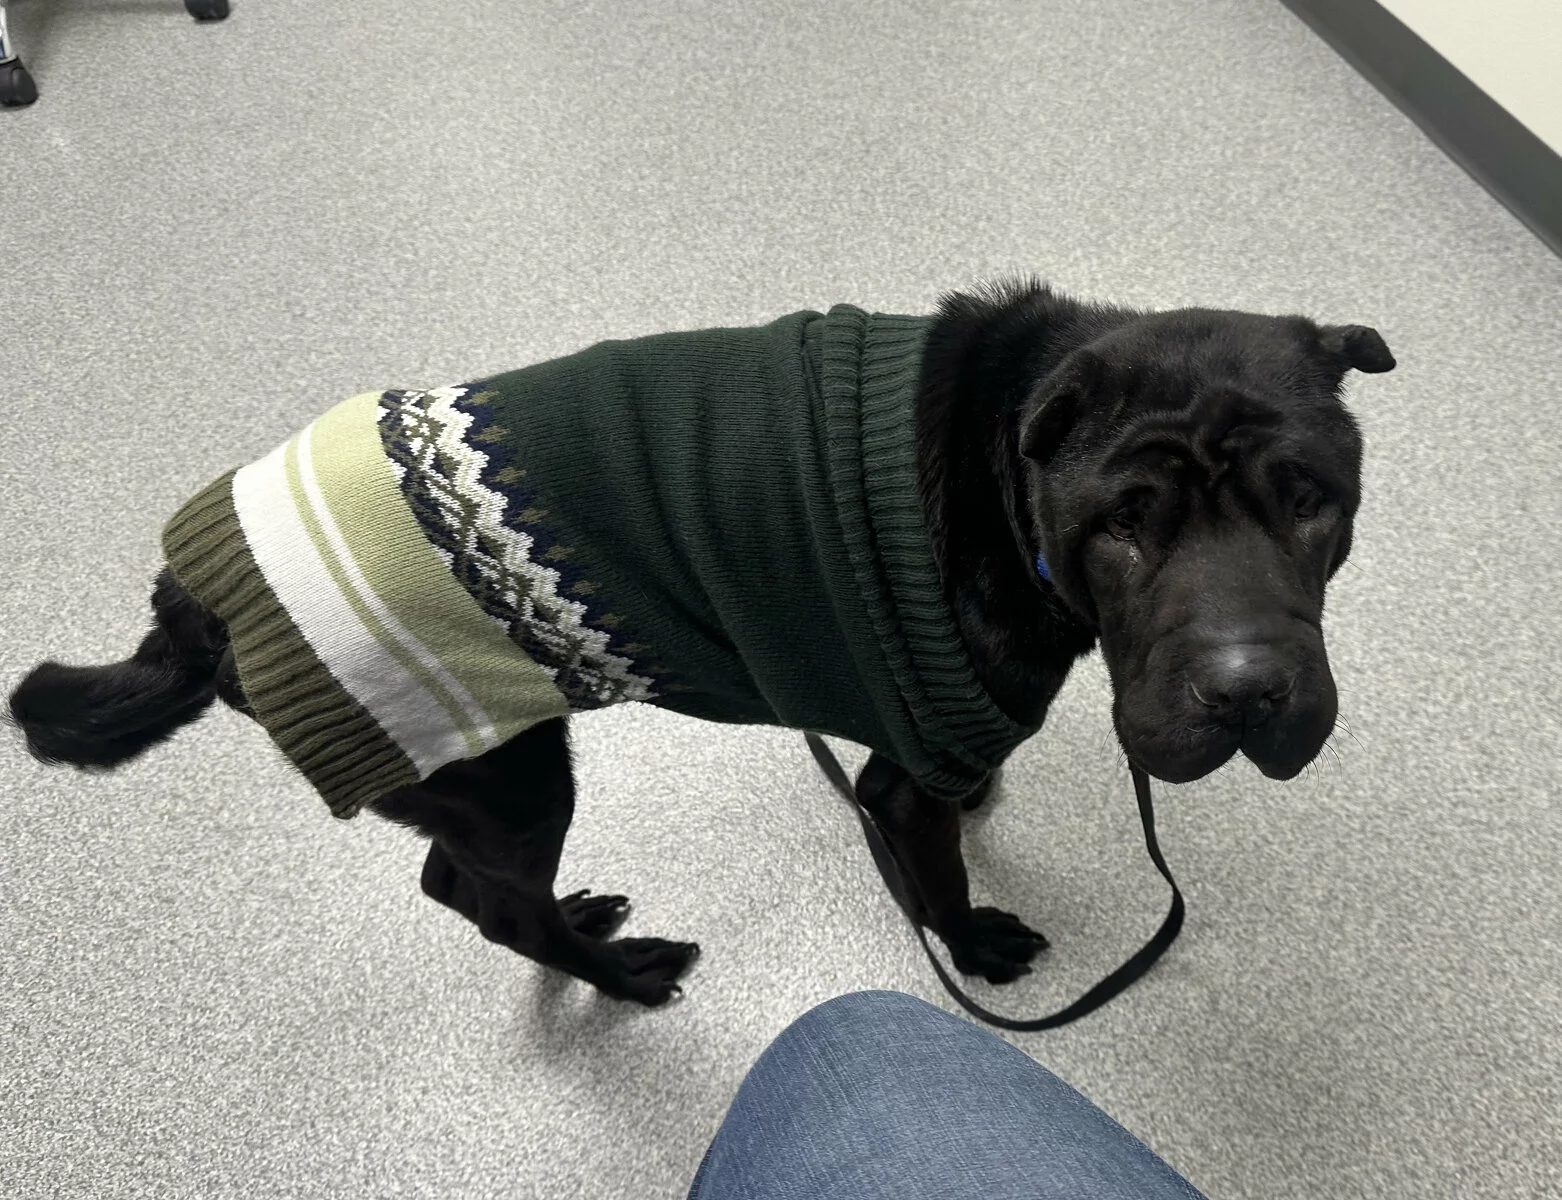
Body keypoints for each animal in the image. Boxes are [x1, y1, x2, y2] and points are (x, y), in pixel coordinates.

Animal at [6, 281, 1399, 1000]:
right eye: (1123, 524)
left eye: (1311, 500)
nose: (1246, 692)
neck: (1010, 471)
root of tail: (191, 594)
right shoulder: (902, 776)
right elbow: (937, 876)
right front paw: (973, 945)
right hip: (502, 770)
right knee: (483, 901)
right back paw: (619, 975)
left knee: (470, 889)